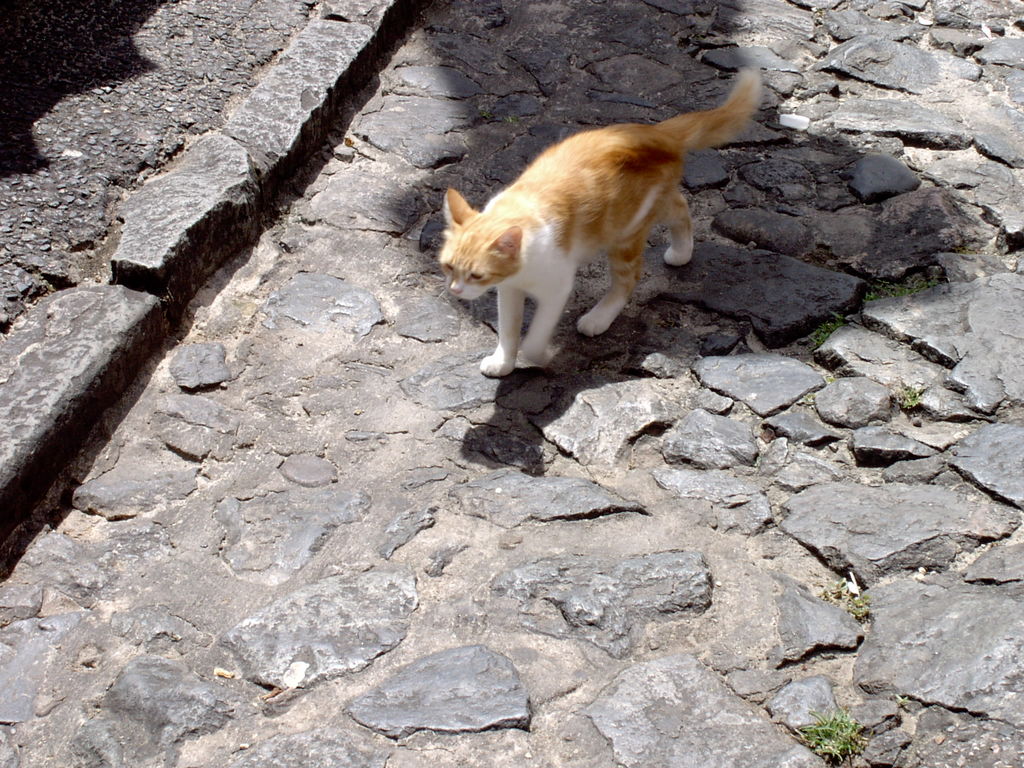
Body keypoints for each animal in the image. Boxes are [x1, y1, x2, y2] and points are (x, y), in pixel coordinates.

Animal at [439, 69, 761, 377]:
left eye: (477, 275)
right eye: (449, 267)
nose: (455, 292)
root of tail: (657, 133)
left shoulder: (557, 287)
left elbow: (534, 338)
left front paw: (540, 355)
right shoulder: (509, 288)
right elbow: (508, 329)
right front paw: (503, 362)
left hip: (625, 233)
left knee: (628, 278)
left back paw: (599, 317)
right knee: (680, 206)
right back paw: (682, 252)